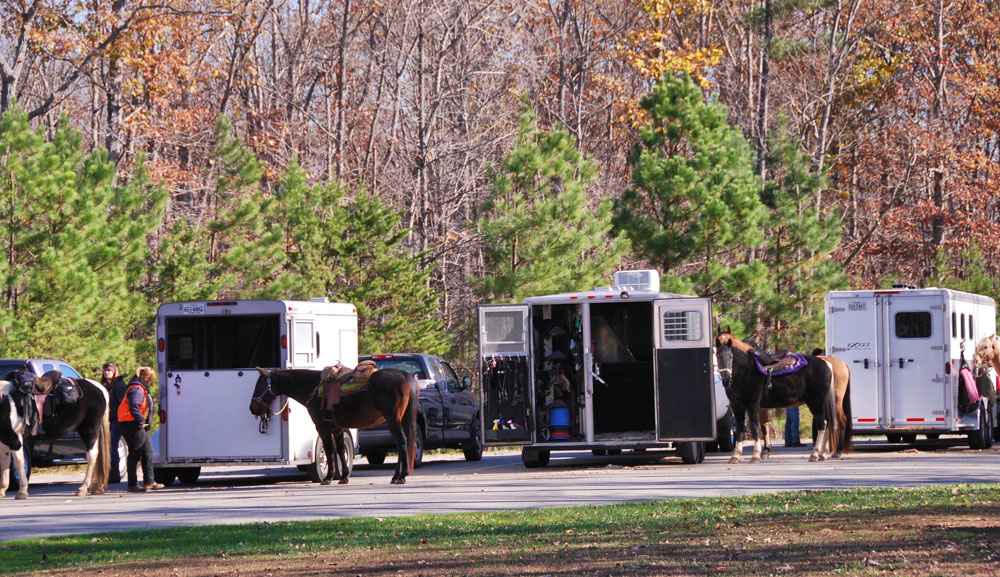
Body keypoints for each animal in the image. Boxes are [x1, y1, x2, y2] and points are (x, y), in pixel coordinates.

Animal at [254, 366, 422, 484]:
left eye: (260, 385)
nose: (252, 407)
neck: (313, 388)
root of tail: (404, 375)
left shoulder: (322, 427)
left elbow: (329, 450)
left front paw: (328, 478)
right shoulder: (338, 428)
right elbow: (341, 450)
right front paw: (344, 477)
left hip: (393, 419)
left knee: (402, 443)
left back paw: (401, 476)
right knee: (402, 444)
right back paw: (396, 476)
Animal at [716, 328, 840, 464]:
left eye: (731, 357)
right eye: (717, 356)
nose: (726, 380)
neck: (746, 372)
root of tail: (825, 363)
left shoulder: (752, 405)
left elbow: (755, 428)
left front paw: (756, 455)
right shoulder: (737, 407)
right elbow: (740, 429)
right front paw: (736, 456)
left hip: (816, 402)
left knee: (822, 424)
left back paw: (815, 454)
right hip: (820, 403)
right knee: (826, 423)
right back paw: (822, 454)